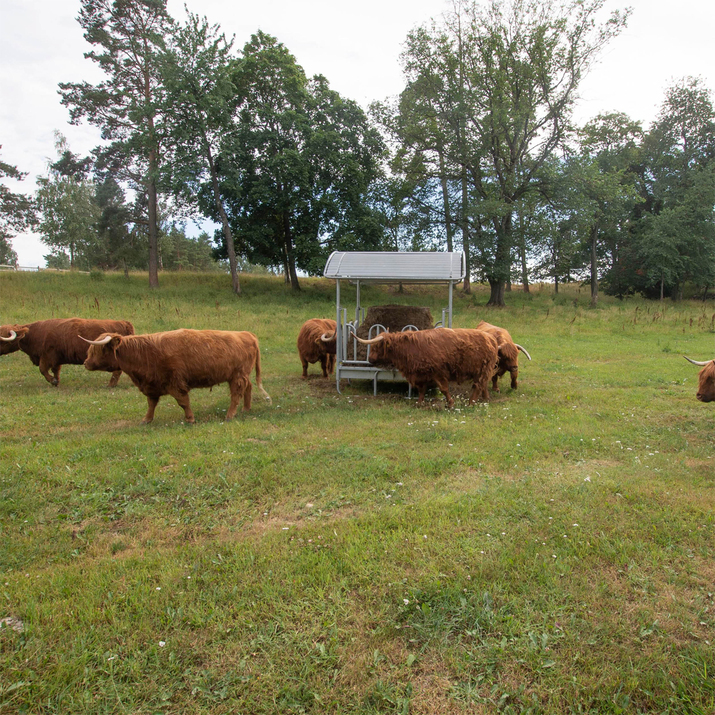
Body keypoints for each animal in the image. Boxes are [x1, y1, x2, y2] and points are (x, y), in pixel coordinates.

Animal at [0, 318, 135, 386]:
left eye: (2, 340)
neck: (35, 333)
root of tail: (125, 323)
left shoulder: (47, 356)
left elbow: (43, 370)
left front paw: (53, 381)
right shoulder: (56, 359)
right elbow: (55, 370)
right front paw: (56, 381)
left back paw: (111, 384)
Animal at [83, 330, 272, 426]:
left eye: (100, 349)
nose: (86, 363)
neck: (143, 353)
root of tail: (247, 333)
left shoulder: (176, 382)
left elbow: (183, 402)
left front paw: (190, 419)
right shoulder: (152, 385)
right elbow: (151, 404)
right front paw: (146, 419)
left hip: (238, 376)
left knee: (236, 395)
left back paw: (230, 415)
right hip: (241, 375)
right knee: (248, 388)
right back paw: (246, 409)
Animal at [356, 326, 500, 406]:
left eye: (375, 346)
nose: (369, 359)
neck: (409, 348)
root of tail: (491, 338)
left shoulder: (439, 372)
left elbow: (444, 389)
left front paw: (450, 404)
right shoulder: (421, 373)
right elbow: (422, 390)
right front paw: (419, 403)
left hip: (482, 369)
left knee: (478, 385)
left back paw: (471, 403)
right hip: (482, 371)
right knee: (483, 385)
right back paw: (485, 399)